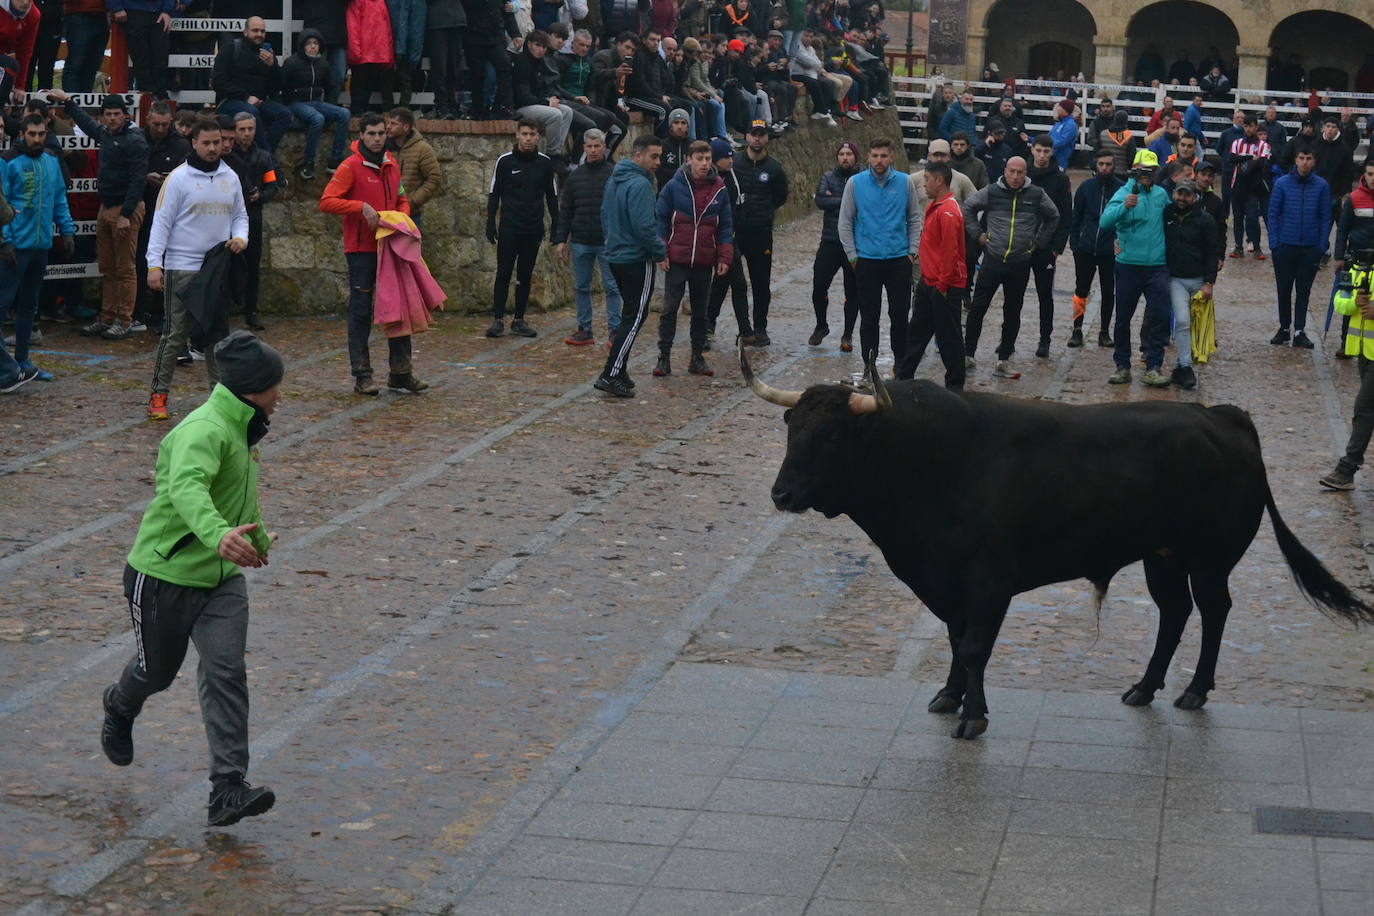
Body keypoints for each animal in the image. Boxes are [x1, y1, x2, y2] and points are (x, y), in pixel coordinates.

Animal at [747, 351, 1368, 736]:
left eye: (830, 435)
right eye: (790, 427)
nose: (781, 493)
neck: (931, 461)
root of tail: (1223, 418)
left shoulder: (989, 580)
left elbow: (974, 647)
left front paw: (973, 717)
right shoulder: (943, 583)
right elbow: (954, 640)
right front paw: (948, 697)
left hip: (1211, 558)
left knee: (1214, 610)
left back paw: (1194, 691)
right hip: (1161, 557)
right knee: (1175, 613)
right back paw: (1144, 687)